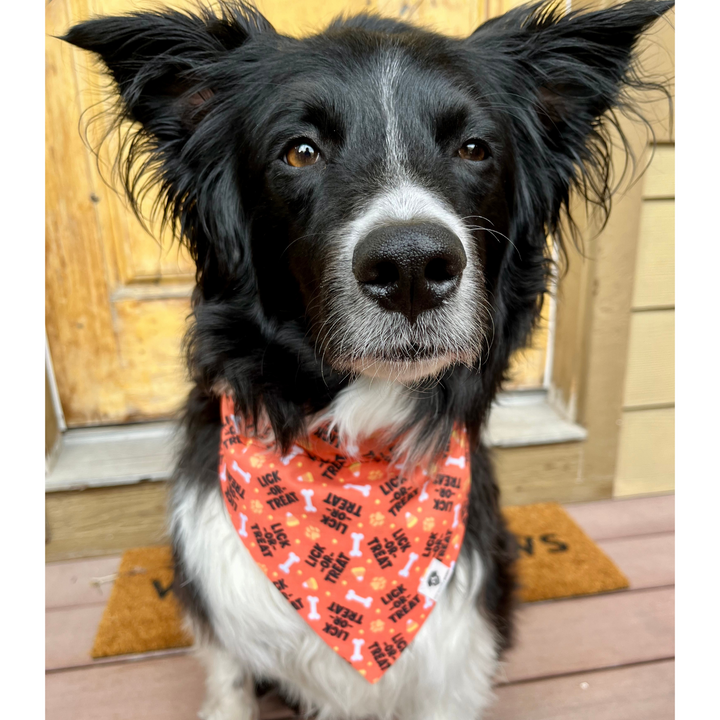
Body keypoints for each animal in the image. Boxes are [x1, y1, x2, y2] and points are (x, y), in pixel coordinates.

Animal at [63, 2, 676, 716]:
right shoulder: (224, 626)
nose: (411, 268)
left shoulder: (454, 663)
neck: (354, 459)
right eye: (300, 151)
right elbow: (229, 686)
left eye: (474, 148)